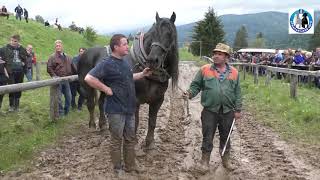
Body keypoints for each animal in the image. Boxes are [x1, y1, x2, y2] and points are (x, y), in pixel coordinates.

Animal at [77, 12, 178, 148]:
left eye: (170, 34)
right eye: (153, 33)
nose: (152, 60)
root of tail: (85, 53)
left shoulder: (158, 100)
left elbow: (152, 122)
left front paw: (150, 143)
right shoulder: (134, 101)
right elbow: (135, 122)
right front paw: (132, 141)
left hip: (105, 88)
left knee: (101, 103)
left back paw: (103, 125)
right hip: (87, 85)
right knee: (91, 104)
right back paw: (92, 125)